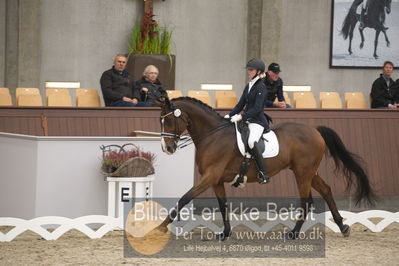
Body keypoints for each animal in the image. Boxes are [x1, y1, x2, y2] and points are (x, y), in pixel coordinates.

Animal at [155, 97, 376, 239]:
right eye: (160, 120)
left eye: (169, 119)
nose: (167, 148)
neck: (213, 135)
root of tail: (315, 130)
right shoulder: (216, 180)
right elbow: (223, 205)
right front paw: (224, 233)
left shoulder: (210, 176)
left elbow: (184, 198)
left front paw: (160, 227)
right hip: (308, 172)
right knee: (327, 191)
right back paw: (342, 226)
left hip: (302, 173)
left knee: (305, 201)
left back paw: (293, 233)